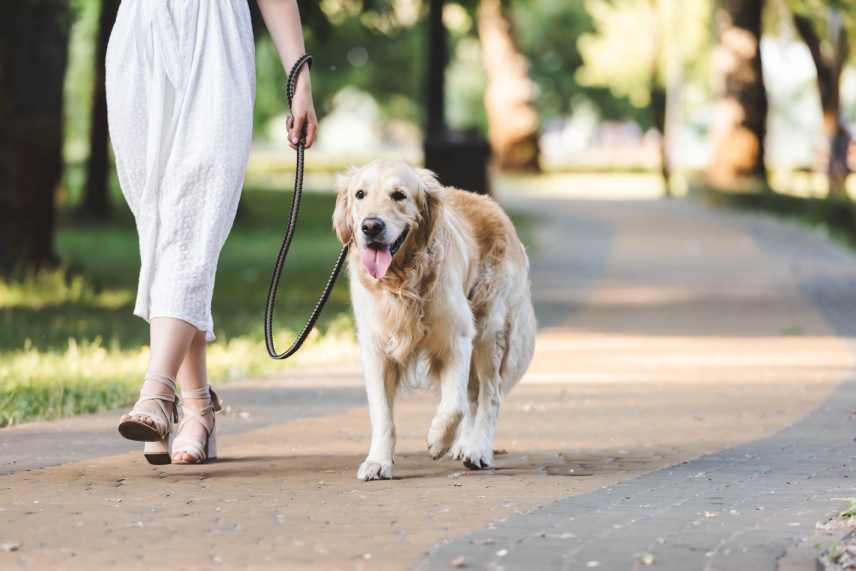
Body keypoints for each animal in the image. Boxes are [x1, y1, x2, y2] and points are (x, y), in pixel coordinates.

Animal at [334, 159, 536, 480]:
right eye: (360, 194)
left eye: (399, 195)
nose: (371, 226)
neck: (401, 282)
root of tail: (492, 204)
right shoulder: (376, 349)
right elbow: (382, 414)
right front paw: (378, 461)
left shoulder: (457, 339)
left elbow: (453, 406)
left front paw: (438, 440)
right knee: (473, 395)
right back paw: (464, 445)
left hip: (489, 330)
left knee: (489, 395)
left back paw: (477, 449)